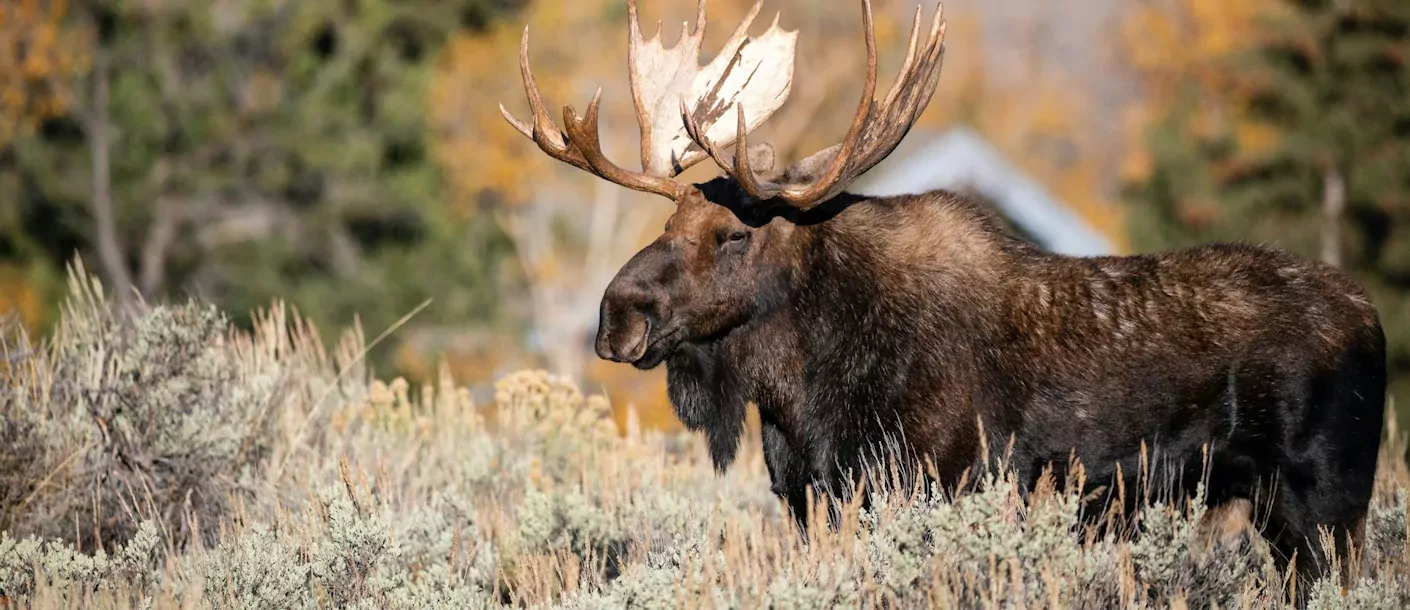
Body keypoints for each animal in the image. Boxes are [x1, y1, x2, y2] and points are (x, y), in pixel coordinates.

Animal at [501, 0, 1381, 591]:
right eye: (668, 219)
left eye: (733, 235)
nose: (617, 315)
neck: (801, 394)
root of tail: (1372, 318)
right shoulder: (810, 499)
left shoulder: (935, 484)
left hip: (1328, 503)